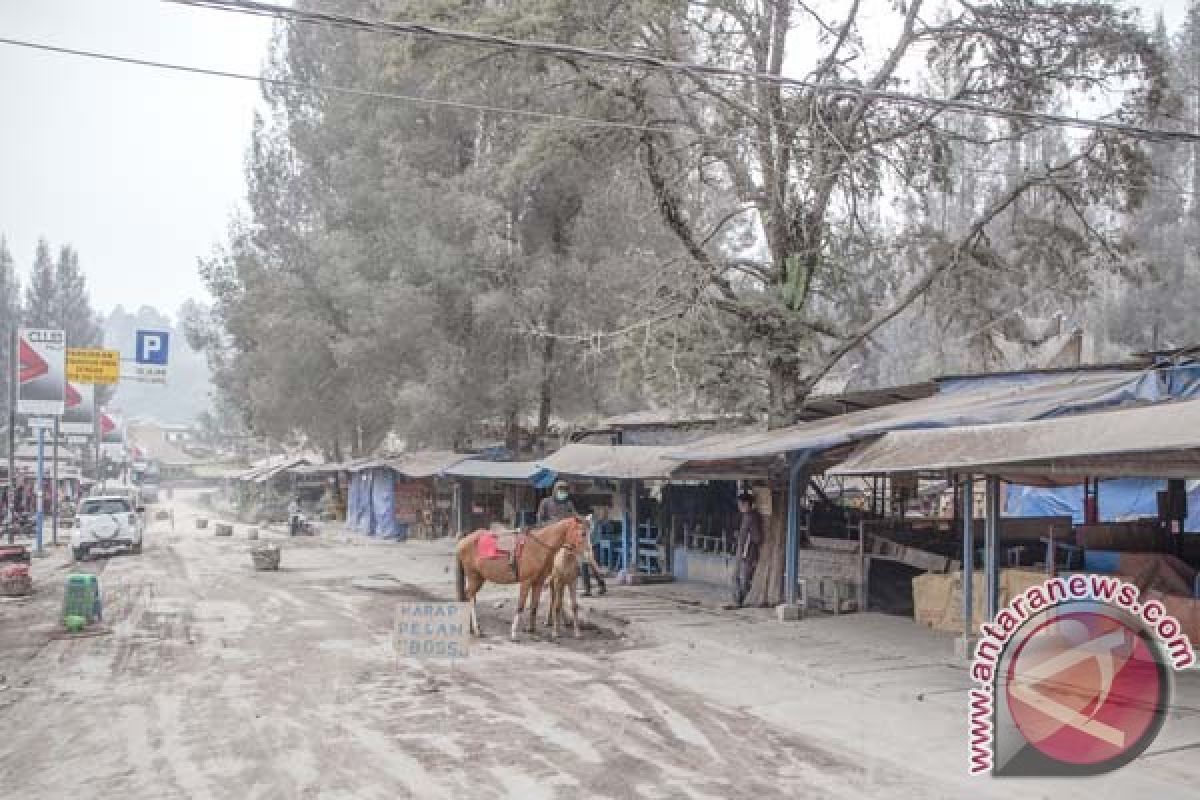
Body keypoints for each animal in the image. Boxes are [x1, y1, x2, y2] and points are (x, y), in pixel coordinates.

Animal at [453, 515, 585, 642]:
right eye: (583, 533)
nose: (584, 554)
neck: (538, 547)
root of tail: (463, 541)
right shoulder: (526, 582)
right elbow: (520, 606)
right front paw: (514, 634)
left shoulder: (538, 582)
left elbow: (534, 607)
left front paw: (532, 631)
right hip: (473, 576)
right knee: (471, 598)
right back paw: (477, 630)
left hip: (479, 577)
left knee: (472, 597)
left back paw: (472, 628)